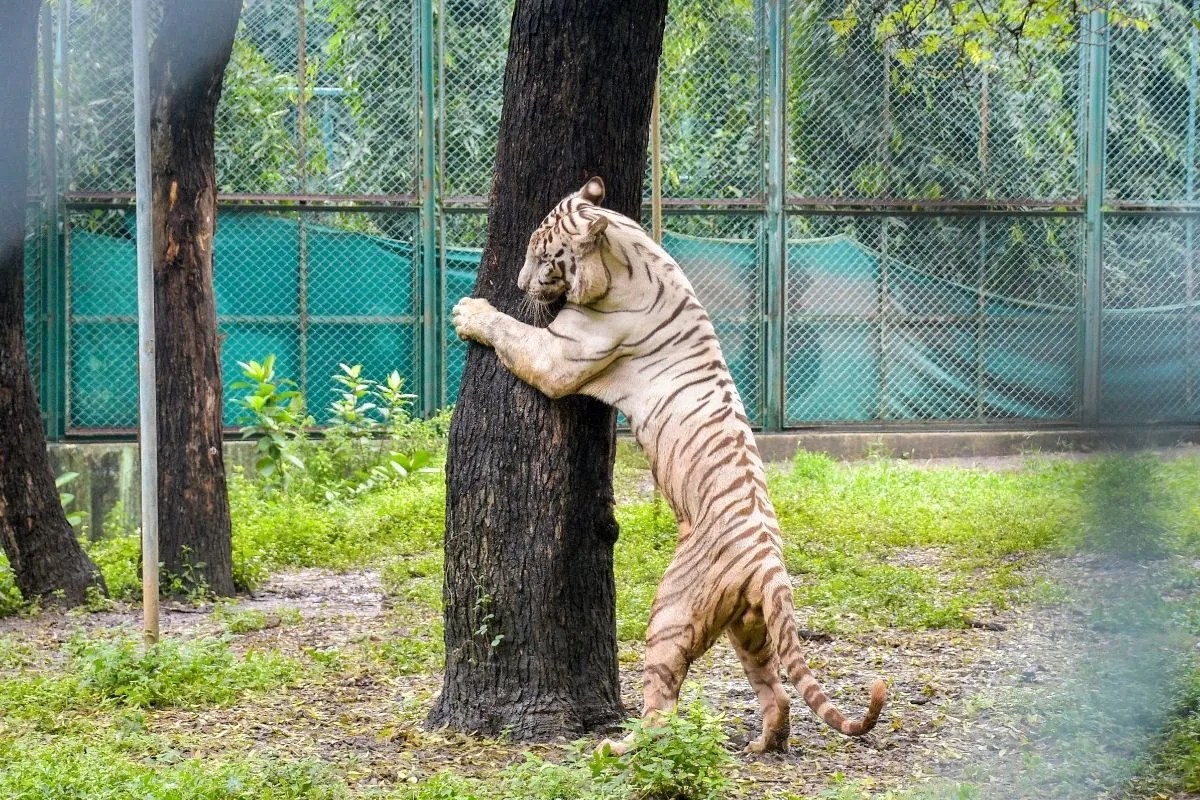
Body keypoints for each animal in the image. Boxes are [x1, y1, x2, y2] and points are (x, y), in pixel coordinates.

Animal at [452, 176, 886, 755]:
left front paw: (469, 311)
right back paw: (762, 744)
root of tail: (769, 560)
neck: (626, 252)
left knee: (662, 707)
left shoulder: (559, 356)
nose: (521, 281)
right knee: (777, 689)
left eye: (543, 257)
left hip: (673, 612)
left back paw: (618, 746)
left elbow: (510, 331)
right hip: (749, 627)